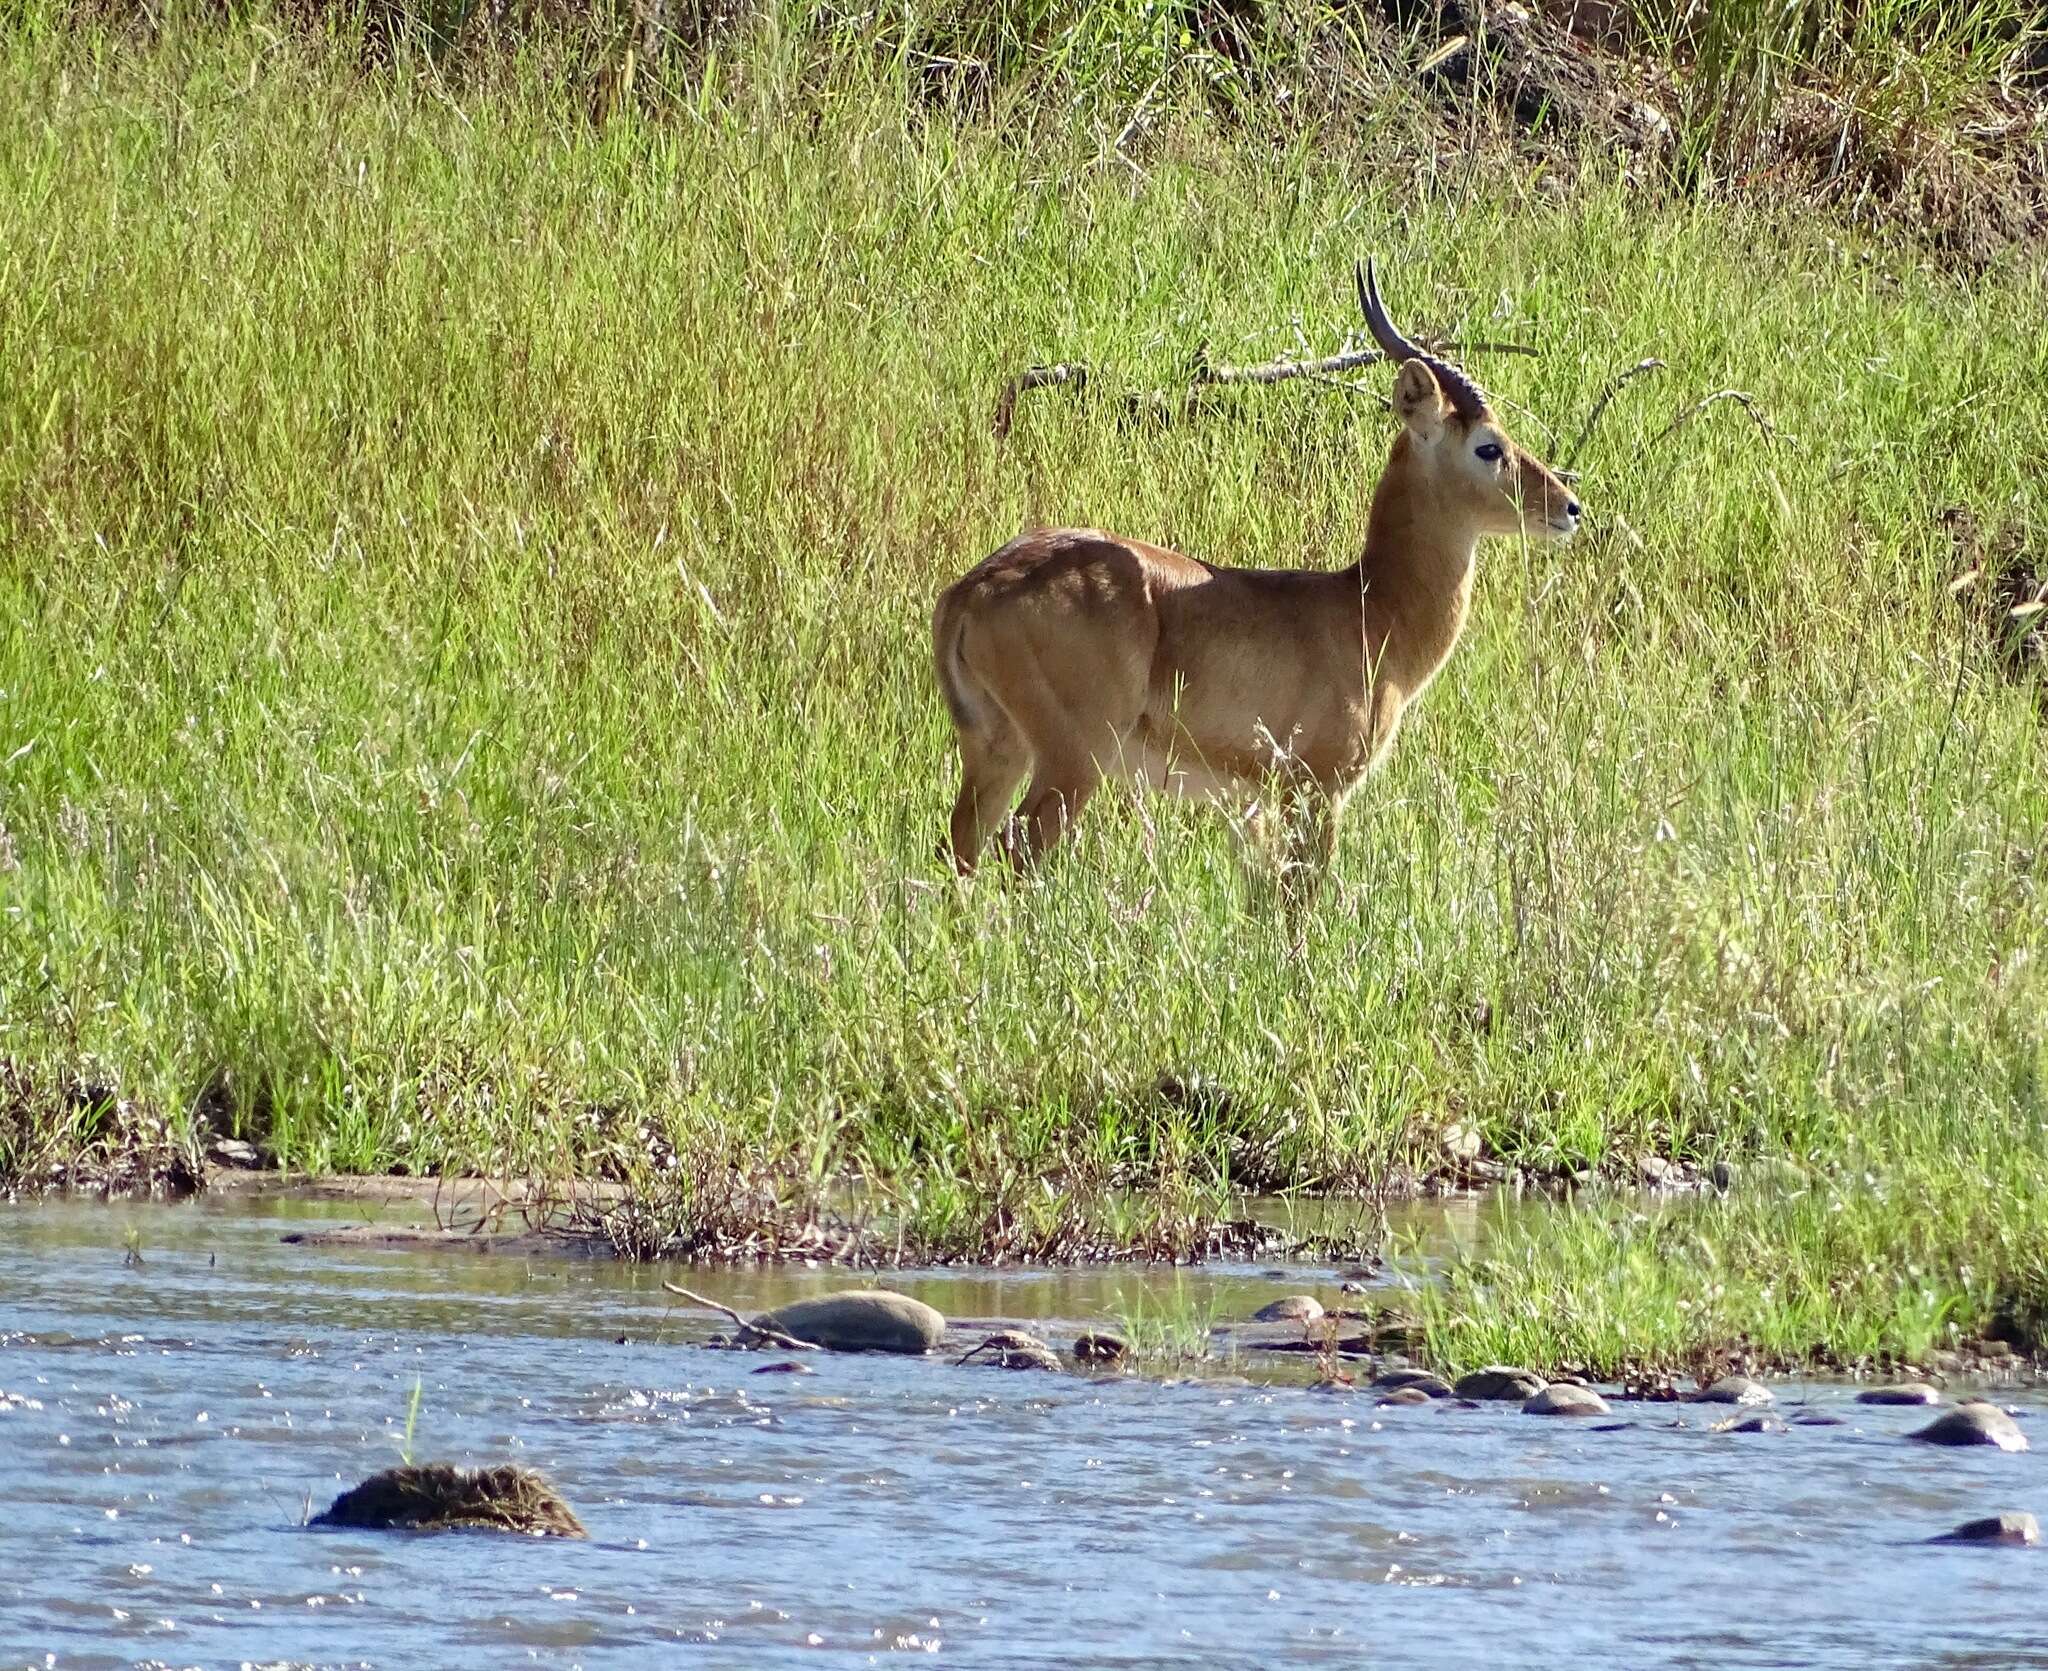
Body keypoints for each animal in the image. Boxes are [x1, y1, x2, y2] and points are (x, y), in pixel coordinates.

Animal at [933, 258, 1581, 888]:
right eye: (1488, 447)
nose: (1569, 507)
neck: (1371, 611)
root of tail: (974, 588)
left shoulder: (1251, 805)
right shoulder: (1316, 790)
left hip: (997, 750)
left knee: (957, 849)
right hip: (1072, 761)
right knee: (1016, 853)